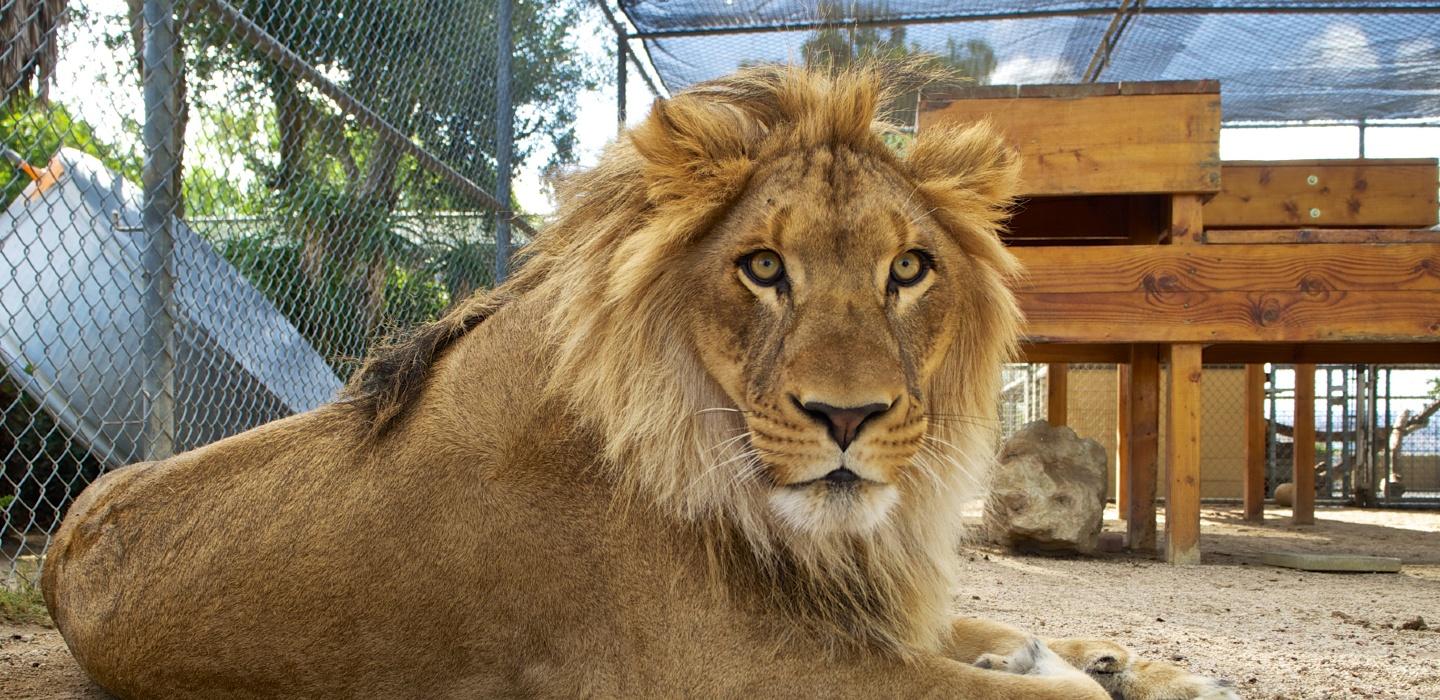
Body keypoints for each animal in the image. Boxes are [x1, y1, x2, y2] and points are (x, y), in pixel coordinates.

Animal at [45, 63, 1238, 697]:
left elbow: (987, 629)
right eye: (763, 267)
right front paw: (1078, 672)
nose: (848, 415)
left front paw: (1141, 665)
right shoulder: (744, 670)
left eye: (909, 269)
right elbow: (1027, 695)